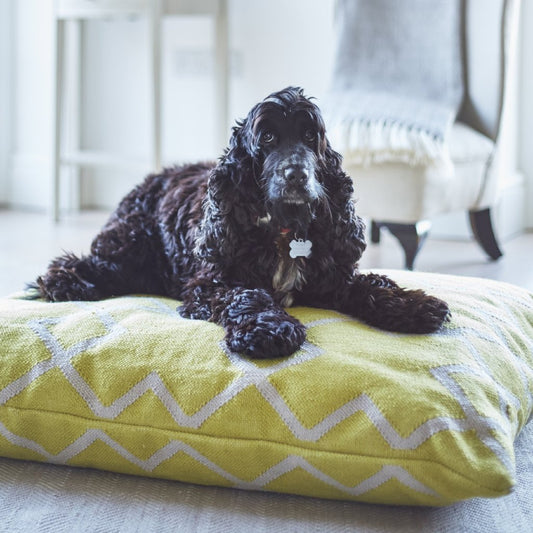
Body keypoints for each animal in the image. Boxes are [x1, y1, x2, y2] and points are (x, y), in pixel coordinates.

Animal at [34, 87, 448, 358]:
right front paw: (269, 329)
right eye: (267, 137)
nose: (296, 175)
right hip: (131, 243)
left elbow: (371, 284)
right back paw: (64, 282)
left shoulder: (332, 277)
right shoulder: (210, 282)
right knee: (85, 263)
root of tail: (153, 177)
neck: (284, 230)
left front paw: (413, 305)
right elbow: (248, 295)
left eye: (310, 136)